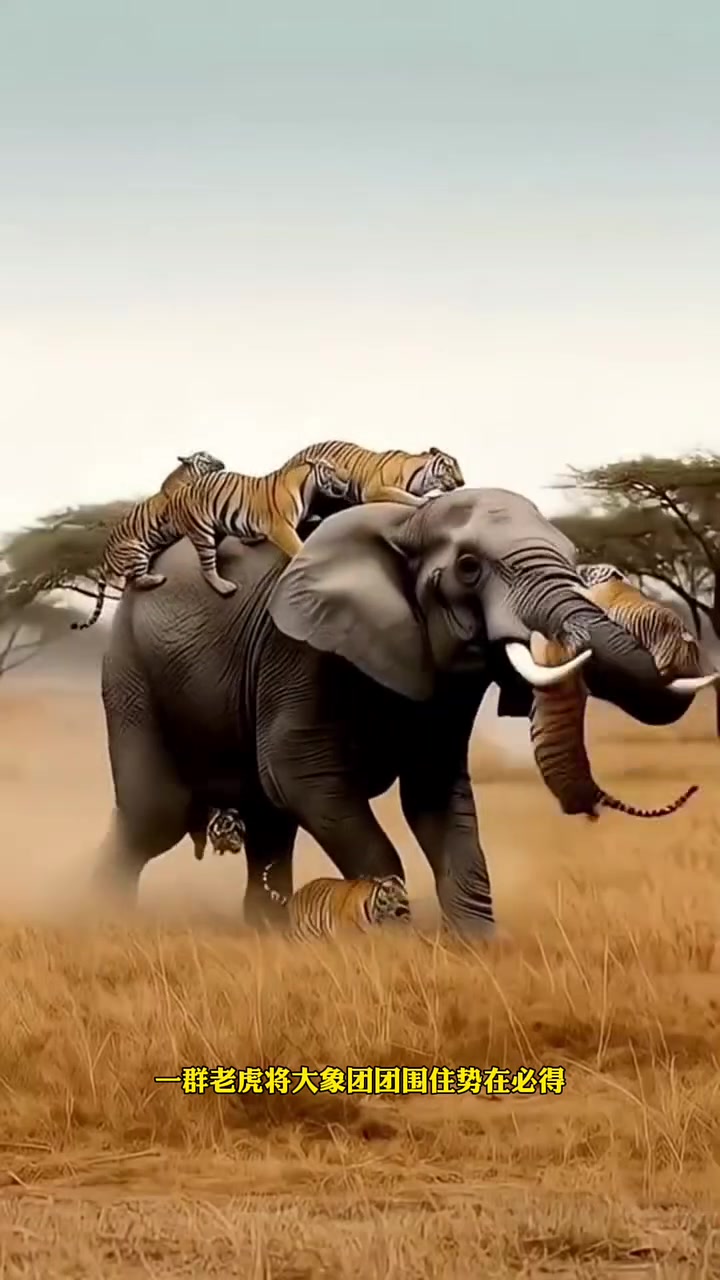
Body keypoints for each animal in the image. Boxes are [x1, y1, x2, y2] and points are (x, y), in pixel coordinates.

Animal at [71, 450, 227, 631]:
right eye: (207, 458)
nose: (222, 463)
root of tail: (105, 559)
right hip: (136, 550)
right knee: (138, 580)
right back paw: (158, 578)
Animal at [160, 457, 352, 596]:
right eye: (330, 469)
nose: (348, 477)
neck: (308, 489)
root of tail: (176, 496)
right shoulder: (282, 529)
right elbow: (300, 548)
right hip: (202, 533)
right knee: (207, 568)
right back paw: (224, 587)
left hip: (217, 526)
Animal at [261, 863, 412, 942]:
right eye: (389, 890)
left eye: (404, 898)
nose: (407, 914)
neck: (377, 911)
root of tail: (294, 896)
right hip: (302, 932)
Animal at [529, 629, 699, 820]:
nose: (560, 631)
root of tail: (594, 787)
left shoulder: (549, 665)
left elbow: (540, 648)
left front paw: (536, 636)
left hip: (568, 796)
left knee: (583, 811)